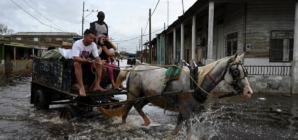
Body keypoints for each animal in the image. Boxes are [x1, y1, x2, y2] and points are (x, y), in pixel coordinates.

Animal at [115, 52, 253, 135]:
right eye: (236, 72)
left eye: (245, 71)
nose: (248, 92)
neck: (196, 81)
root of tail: (134, 68)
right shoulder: (186, 110)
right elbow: (189, 134)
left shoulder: (183, 110)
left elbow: (177, 129)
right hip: (132, 95)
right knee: (125, 111)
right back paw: (124, 125)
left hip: (147, 97)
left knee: (138, 106)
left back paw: (147, 122)